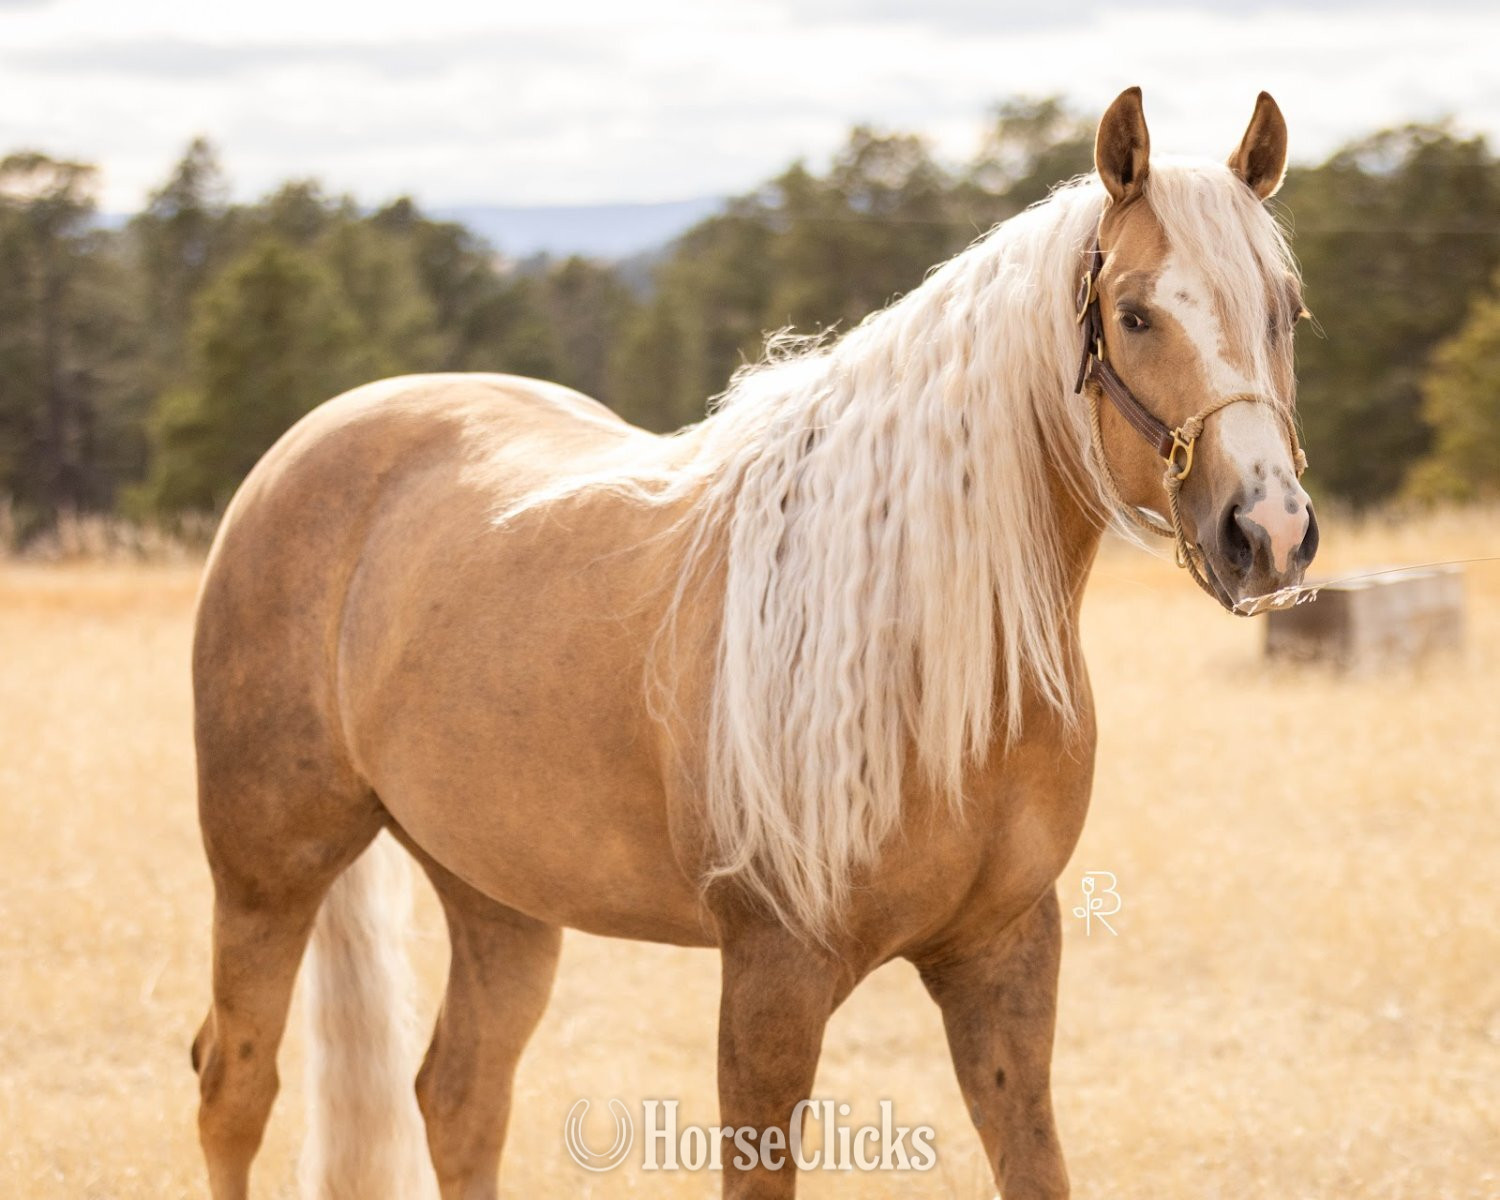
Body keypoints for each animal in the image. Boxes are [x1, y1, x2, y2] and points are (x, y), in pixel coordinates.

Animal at [189, 87, 1317, 1200]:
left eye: (1284, 311)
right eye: (1134, 313)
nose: (1267, 531)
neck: (910, 640)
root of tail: (314, 441)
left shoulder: (1004, 953)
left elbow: (1034, 1166)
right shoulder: (774, 975)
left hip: (498, 896)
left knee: (459, 1097)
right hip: (266, 873)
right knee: (234, 1088)